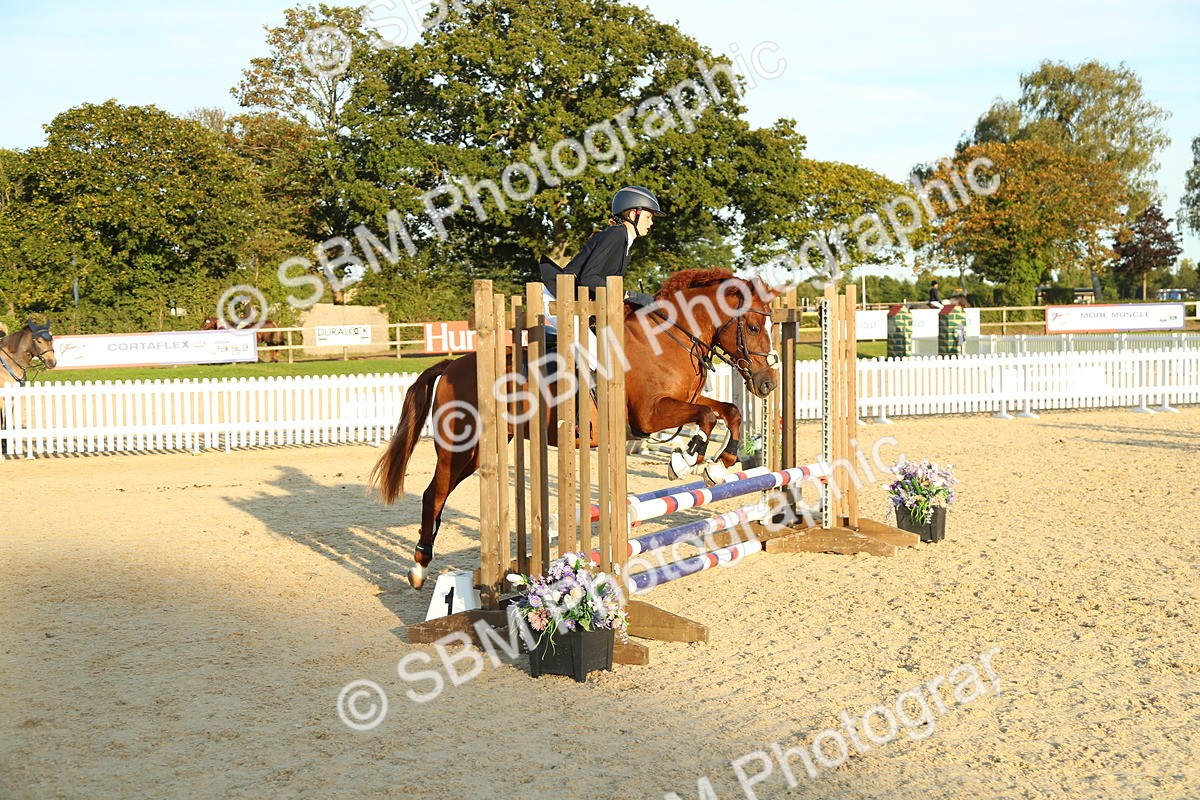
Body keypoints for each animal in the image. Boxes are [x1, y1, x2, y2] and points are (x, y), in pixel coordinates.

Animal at [368, 268, 782, 588]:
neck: (671, 338)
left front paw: (719, 466)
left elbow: (728, 412)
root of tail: (452, 365)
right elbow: (707, 418)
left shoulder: (682, 402)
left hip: (482, 450)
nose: (767, 384)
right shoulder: (650, 415)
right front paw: (687, 459)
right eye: (752, 325)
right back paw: (419, 569)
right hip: (460, 446)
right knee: (432, 495)